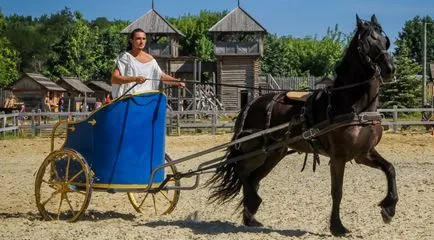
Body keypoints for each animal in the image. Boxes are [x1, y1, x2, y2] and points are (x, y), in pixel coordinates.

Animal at [206, 15, 396, 236]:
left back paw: (250, 217)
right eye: (365, 43)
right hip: (255, 151)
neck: (353, 105)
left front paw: (389, 209)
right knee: (243, 170)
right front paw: (337, 227)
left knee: (253, 178)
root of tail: (251, 104)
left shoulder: (363, 153)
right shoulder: (338, 157)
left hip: (273, 154)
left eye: (384, 41)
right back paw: (253, 204)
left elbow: (390, 169)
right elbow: (337, 191)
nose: (389, 69)